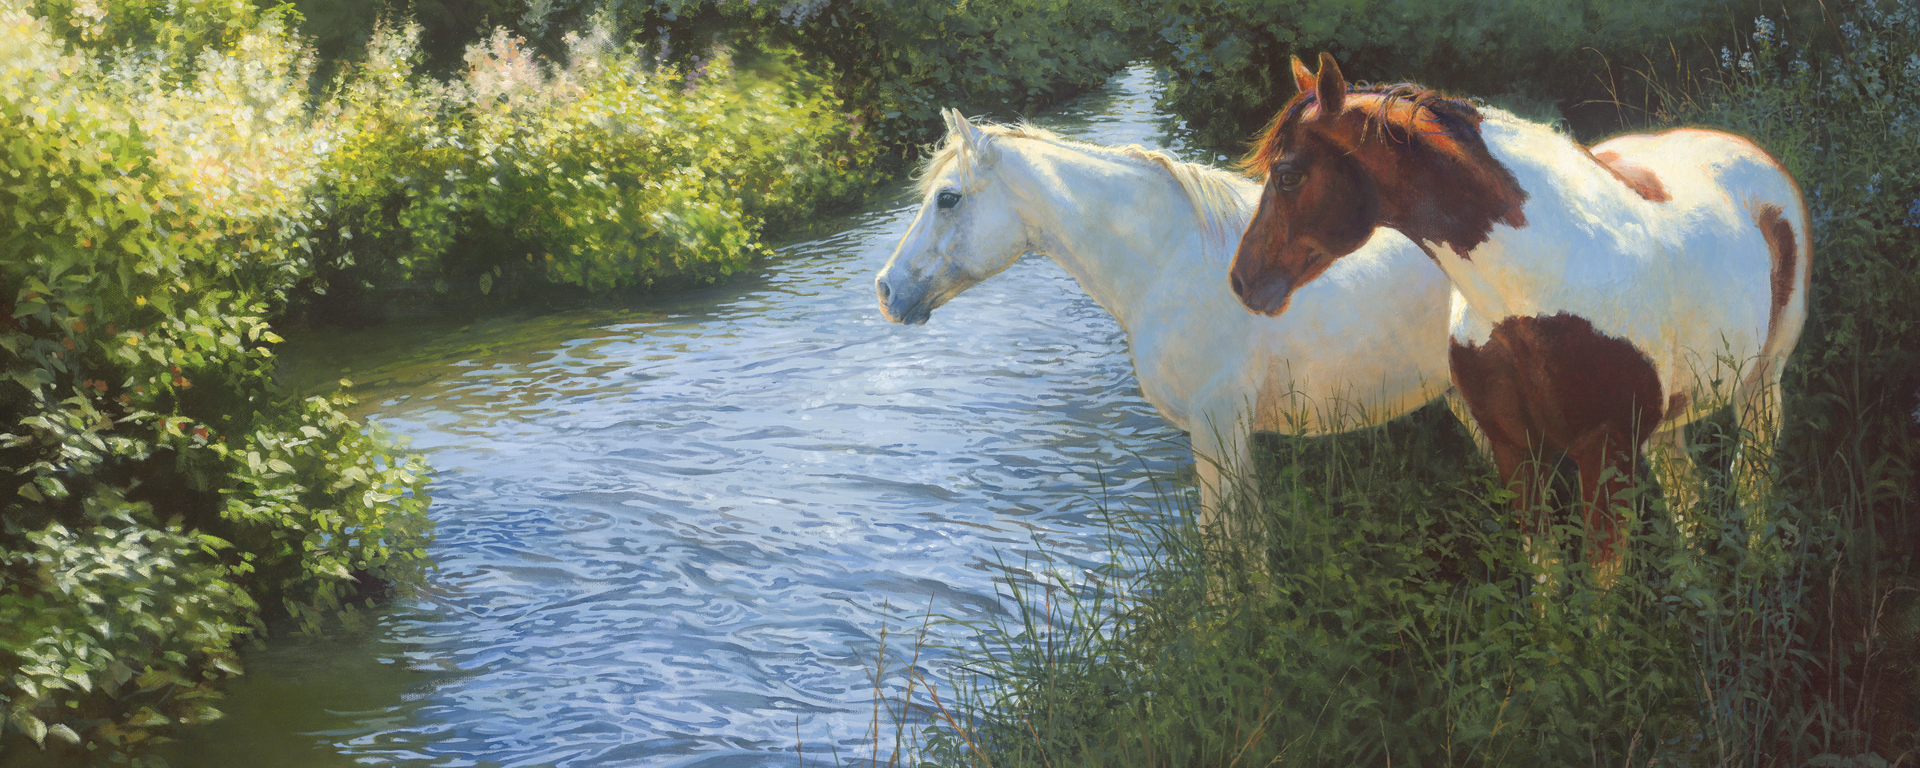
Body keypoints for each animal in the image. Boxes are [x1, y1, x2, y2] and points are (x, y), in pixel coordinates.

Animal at [1228, 54, 1812, 572]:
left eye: (1287, 175)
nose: (1243, 281)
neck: (1528, 294)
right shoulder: (1515, 449)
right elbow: (1546, 577)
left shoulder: (1605, 454)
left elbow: (1599, 592)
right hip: (1672, 416)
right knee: (1687, 497)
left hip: (1760, 384)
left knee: (1751, 483)